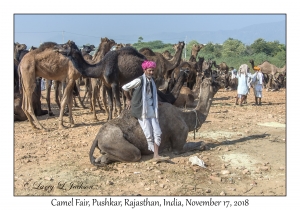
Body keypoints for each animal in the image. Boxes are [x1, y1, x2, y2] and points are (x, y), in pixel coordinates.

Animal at [88, 76, 224, 167]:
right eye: (214, 81)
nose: (223, 82)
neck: (184, 117)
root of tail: (97, 137)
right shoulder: (178, 143)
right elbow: (200, 144)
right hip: (115, 141)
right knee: (135, 154)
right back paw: (103, 159)